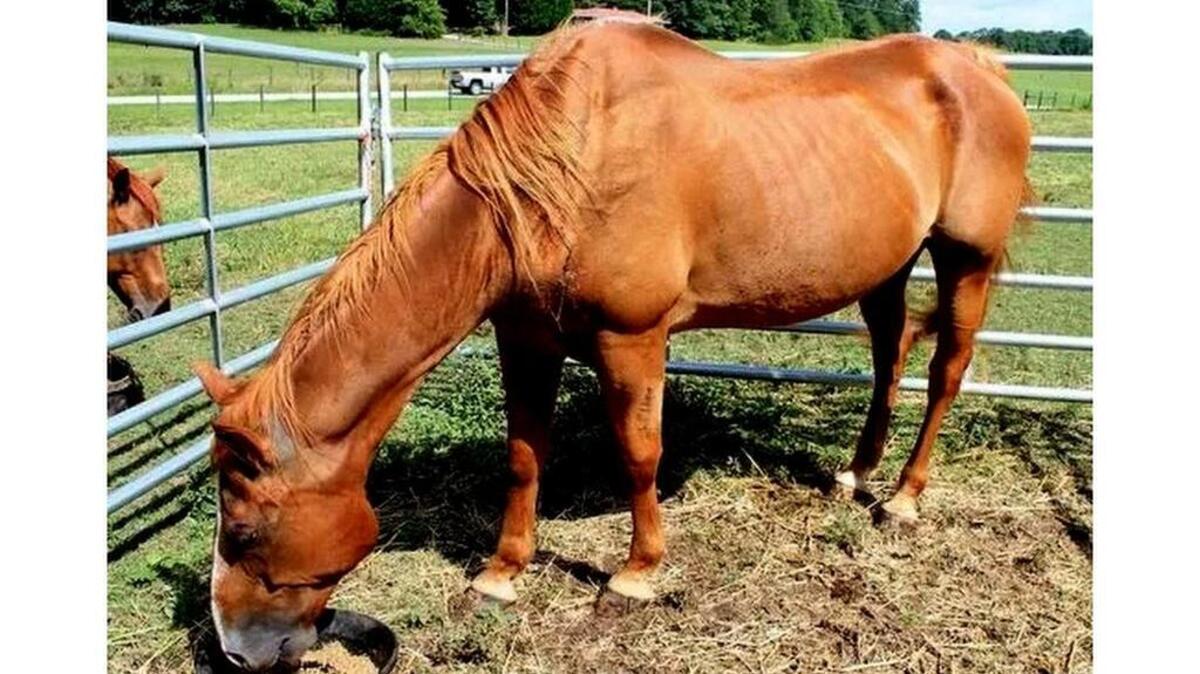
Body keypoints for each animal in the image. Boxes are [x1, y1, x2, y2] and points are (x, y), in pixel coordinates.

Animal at [192, 23, 1031, 671]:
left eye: (243, 529)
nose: (234, 649)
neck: (561, 169)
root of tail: (979, 68)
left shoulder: (633, 340)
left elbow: (638, 453)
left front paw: (635, 575)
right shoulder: (526, 339)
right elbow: (524, 458)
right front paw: (501, 574)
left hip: (966, 259)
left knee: (945, 370)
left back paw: (905, 498)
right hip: (888, 264)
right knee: (889, 355)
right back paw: (856, 474)